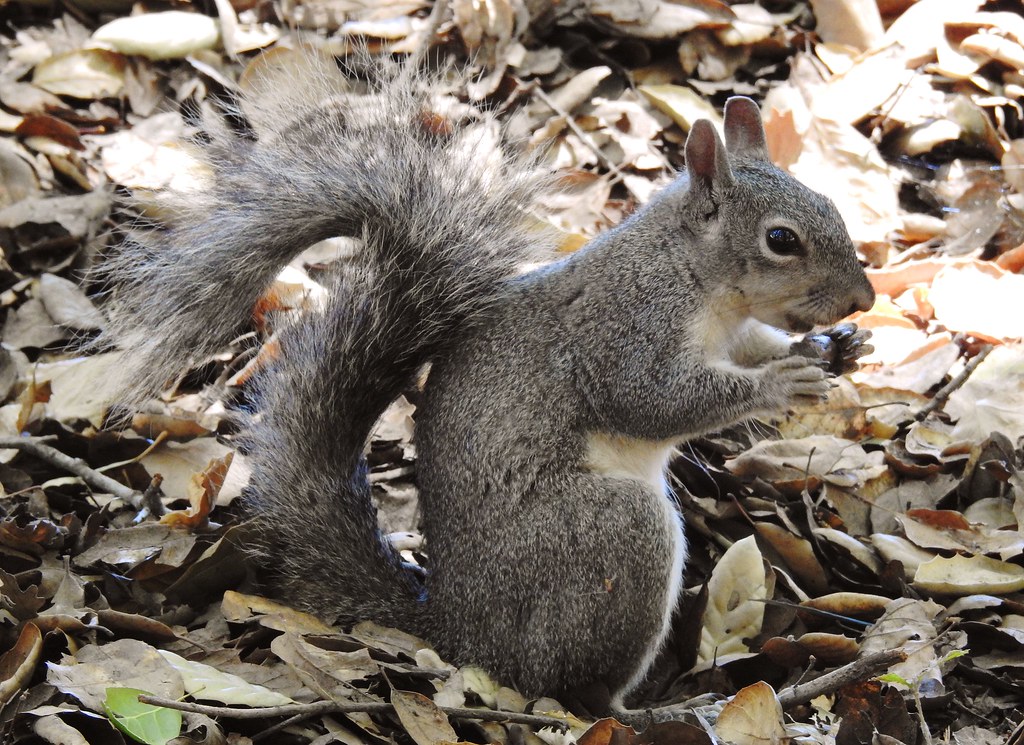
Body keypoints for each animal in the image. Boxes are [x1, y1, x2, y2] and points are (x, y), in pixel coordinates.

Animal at [98, 49, 876, 720]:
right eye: (781, 239)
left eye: (831, 204)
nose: (863, 300)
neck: (698, 282)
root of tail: (463, 634)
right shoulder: (625, 328)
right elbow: (652, 399)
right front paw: (781, 382)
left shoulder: (731, 332)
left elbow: (751, 349)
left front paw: (834, 350)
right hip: (610, 539)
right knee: (576, 690)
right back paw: (659, 710)